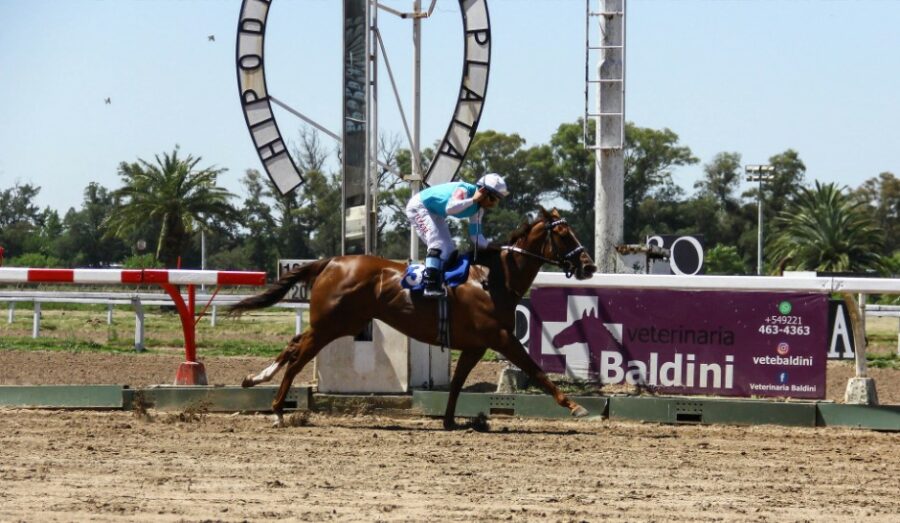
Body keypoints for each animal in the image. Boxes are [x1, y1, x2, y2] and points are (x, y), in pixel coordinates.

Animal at [232, 207, 596, 428]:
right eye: (564, 234)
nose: (589, 266)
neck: (492, 280)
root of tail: (331, 262)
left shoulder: (476, 345)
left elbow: (457, 382)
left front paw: (450, 420)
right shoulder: (502, 338)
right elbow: (537, 370)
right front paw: (576, 406)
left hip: (335, 323)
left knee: (294, 345)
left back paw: (255, 379)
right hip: (332, 325)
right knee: (297, 357)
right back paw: (278, 409)